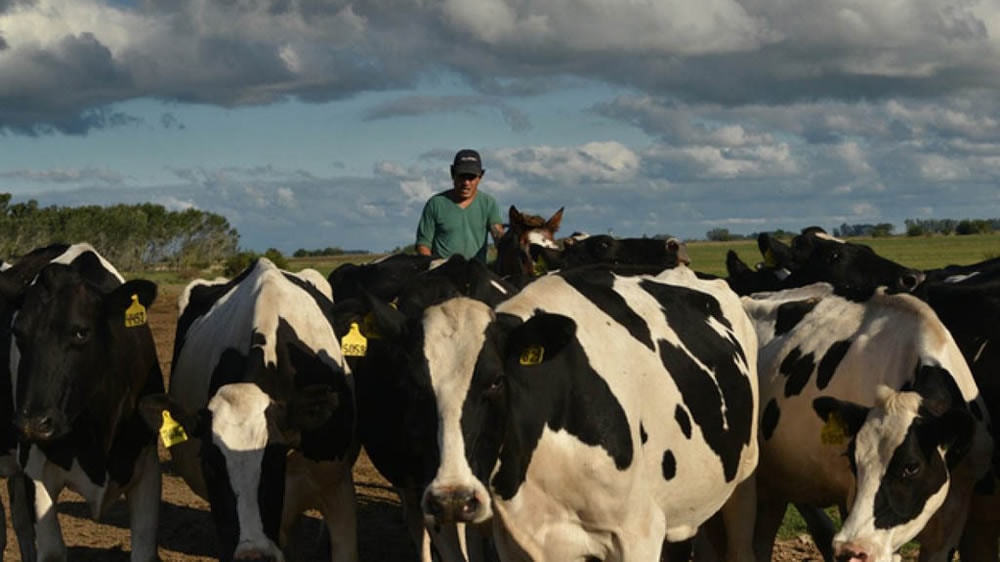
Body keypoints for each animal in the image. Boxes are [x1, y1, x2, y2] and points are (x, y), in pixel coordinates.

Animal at [0, 244, 166, 560]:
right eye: (18, 332)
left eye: (81, 332)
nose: (32, 423)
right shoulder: (34, 469)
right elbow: (52, 550)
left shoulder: (146, 464)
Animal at [364, 264, 760, 560]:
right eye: (411, 382)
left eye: (496, 381)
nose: (453, 499)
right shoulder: (515, 543)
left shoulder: (637, 531)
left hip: (743, 479)